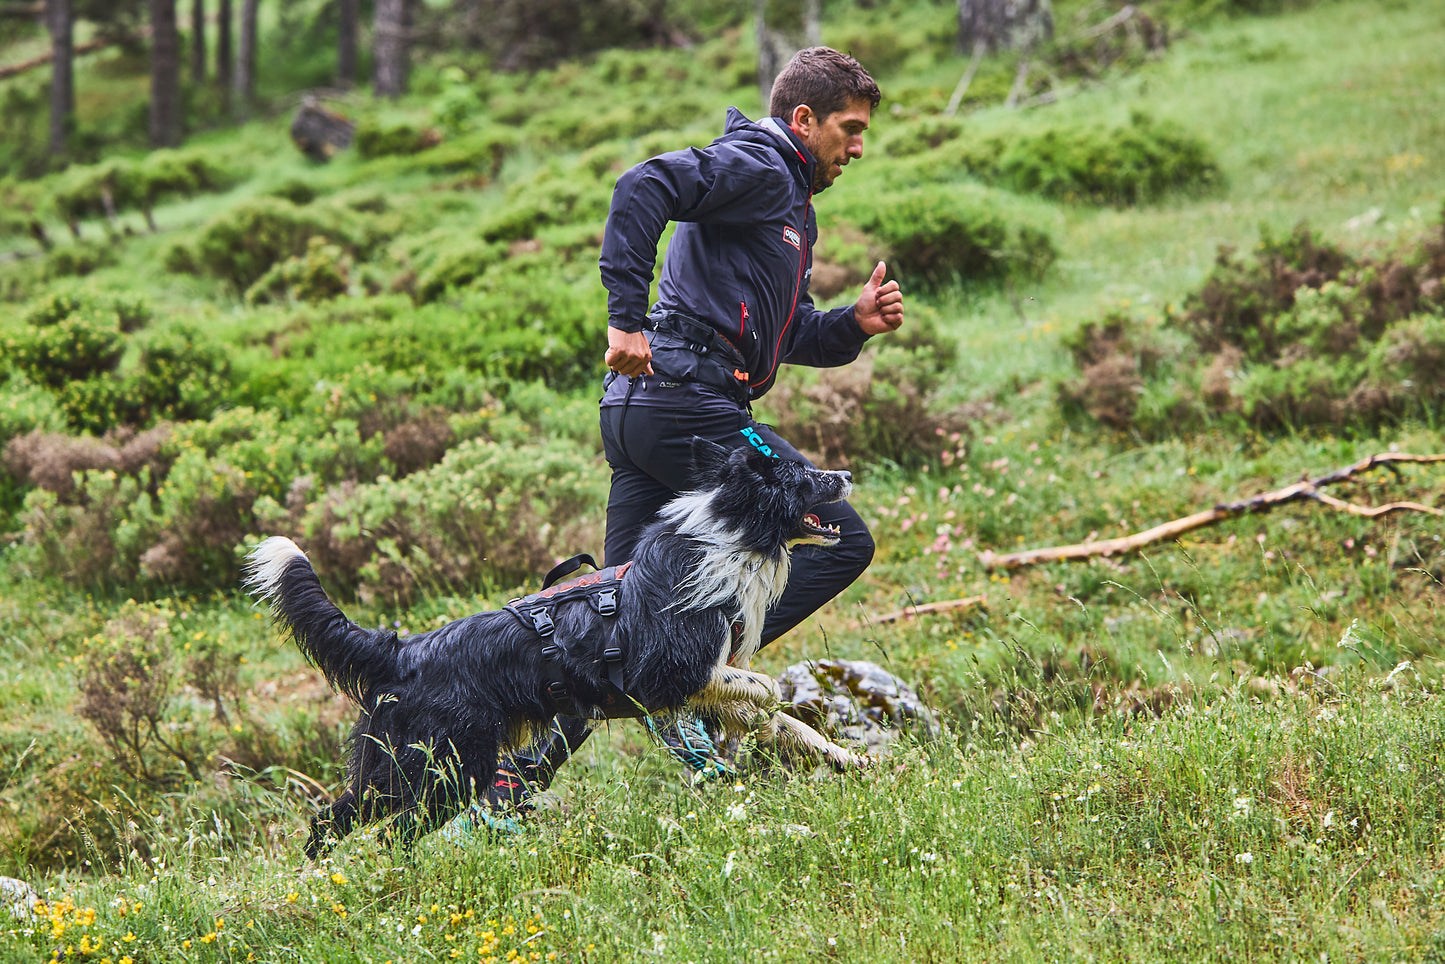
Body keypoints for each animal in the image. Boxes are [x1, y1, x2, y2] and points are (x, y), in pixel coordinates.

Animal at [245, 436, 867, 849]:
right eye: (805, 475)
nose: (846, 474)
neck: (731, 539)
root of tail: (402, 651)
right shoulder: (672, 672)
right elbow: (761, 688)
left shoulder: (710, 674)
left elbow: (786, 719)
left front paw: (856, 762)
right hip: (445, 764)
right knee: (388, 830)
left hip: (407, 765)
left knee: (338, 818)